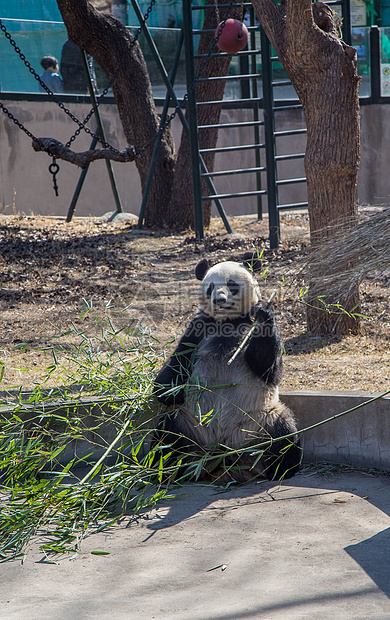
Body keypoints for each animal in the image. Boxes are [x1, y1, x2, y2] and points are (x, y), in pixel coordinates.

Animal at [152, 260, 302, 482]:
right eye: (211, 287)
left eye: (231, 284)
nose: (219, 299)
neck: (228, 321)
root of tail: (225, 456)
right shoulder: (200, 328)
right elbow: (167, 381)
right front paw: (172, 390)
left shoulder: (249, 327)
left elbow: (269, 369)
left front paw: (264, 310)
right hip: (190, 423)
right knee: (168, 435)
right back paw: (166, 471)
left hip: (260, 422)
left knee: (284, 432)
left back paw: (281, 470)